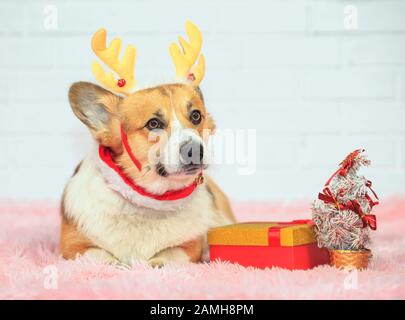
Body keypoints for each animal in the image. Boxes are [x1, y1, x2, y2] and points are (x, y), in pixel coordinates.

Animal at [61, 22, 235, 266]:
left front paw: (150, 264)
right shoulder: (72, 247)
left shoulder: (188, 247)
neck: (148, 204)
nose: (196, 151)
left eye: (196, 116)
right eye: (153, 123)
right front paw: (118, 264)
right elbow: (102, 256)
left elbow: (168, 256)